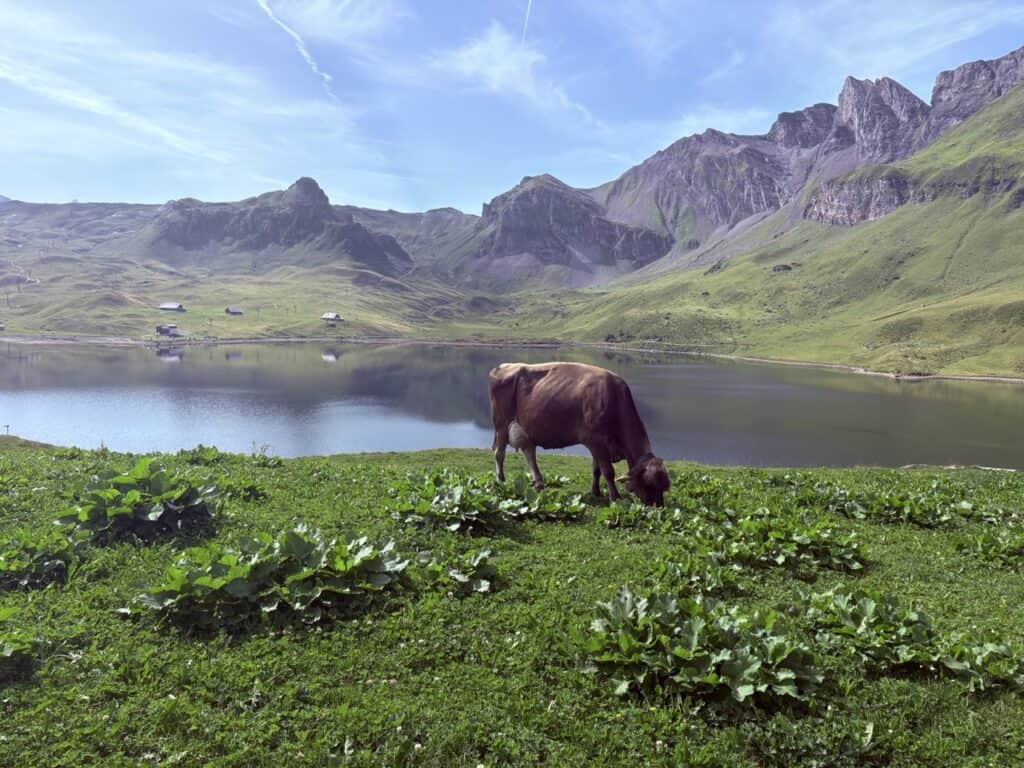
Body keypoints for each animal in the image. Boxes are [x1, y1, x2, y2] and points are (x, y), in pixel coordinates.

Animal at [488, 361, 670, 506]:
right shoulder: (596, 440)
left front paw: (596, 492)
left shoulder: (598, 444)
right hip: (502, 424)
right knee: (499, 453)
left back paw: (539, 483)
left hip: (524, 428)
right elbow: (608, 471)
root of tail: (504, 366)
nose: (658, 507)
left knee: (528, 452)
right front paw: (615, 497)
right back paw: (501, 480)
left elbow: (596, 469)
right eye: (649, 484)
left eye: (664, 485)